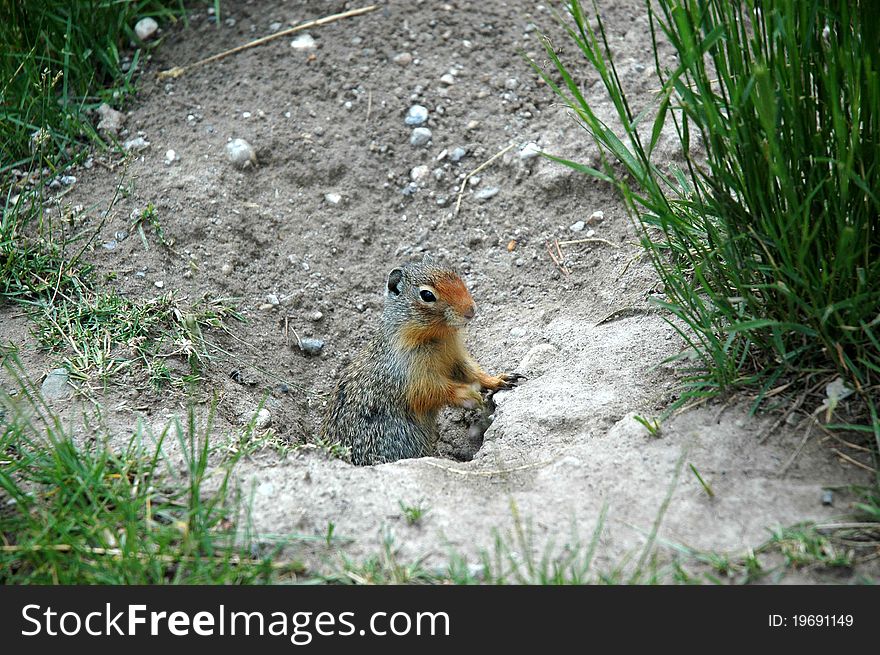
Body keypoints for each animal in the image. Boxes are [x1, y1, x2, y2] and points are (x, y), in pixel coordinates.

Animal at [320, 256, 520, 466]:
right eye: (427, 295)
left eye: (455, 274)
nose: (471, 310)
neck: (436, 337)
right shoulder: (414, 375)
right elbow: (435, 390)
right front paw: (470, 396)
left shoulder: (456, 357)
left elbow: (473, 372)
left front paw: (500, 379)